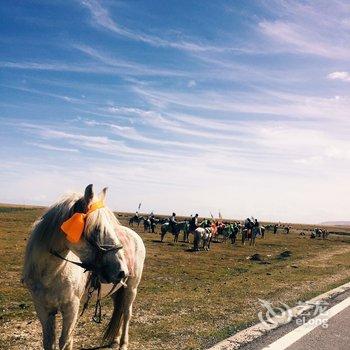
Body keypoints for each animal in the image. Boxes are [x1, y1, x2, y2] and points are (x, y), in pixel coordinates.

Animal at [21, 185, 145, 348]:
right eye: (97, 229)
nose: (122, 271)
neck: (51, 274)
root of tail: (135, 235)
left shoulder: (72, 308)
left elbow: (65, 341)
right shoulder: (43, 309)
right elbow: (49, 342)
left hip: (131, 288)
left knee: (126, 313)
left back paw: (123, 343)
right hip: (116, 289)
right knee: (118, 309)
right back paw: (115, 341)